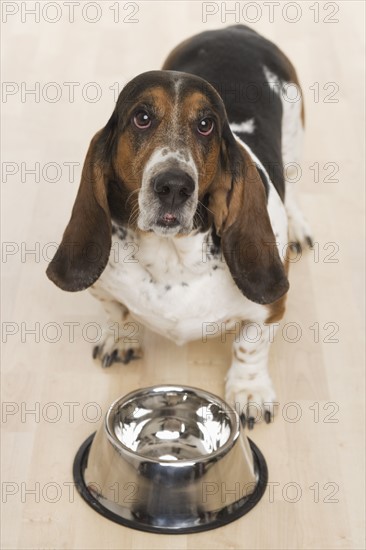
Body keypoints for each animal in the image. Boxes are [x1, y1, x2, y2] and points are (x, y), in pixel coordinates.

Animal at [47, 25, 314, 430]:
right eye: (142, 117)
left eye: (206, 125)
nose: (173, 186)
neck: (171, 258)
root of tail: (234, 29)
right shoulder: (104, 290)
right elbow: (117, 312)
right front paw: (121, 339)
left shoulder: (269, 309)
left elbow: (249, 345)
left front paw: (249, 391)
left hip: (295, 133)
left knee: (295, 187)